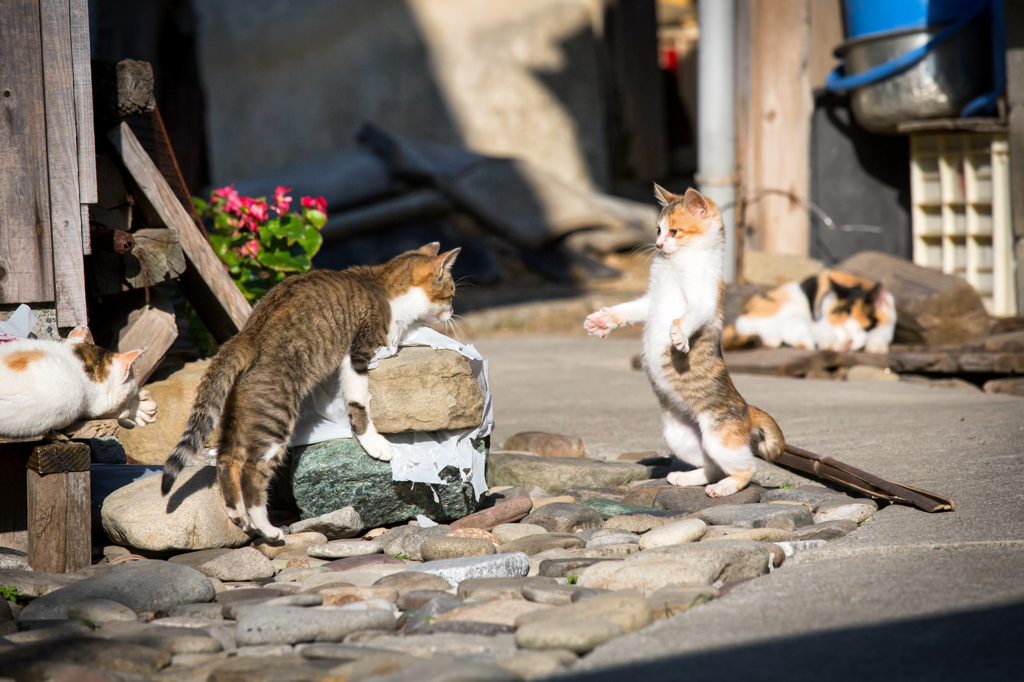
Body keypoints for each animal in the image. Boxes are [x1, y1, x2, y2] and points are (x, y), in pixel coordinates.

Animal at [160, 242, 460, 536]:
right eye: (450, 294)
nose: (452, 312)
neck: (383, 285)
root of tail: (246, 335)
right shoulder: (358, 355)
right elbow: (359, 403)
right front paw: (374, 443)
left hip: (238, 415)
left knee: (226, 459)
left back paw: (238, 515)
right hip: (275, 418)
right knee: (252, 470)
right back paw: (266, 528)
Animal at [585, 184, 782, 493]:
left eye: (674, 232)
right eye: (657, 230)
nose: (658, 245)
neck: (676, 263)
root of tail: (748, 409)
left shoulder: (705, 300)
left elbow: (689, 316)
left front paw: (678, 334)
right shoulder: (650, 301)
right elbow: (628, 309)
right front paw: (603, 320)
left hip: (718, 437)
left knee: (747, 468)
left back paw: (726, 486)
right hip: (680, 438)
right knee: (712, 466)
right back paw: (688, 478)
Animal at [720, 268, 897, 350]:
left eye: (862, 327)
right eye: (840, 326)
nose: (847, 343)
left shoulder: (890, 322)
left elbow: (881, 333)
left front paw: (876, 346)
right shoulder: (820, 323)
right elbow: (824, 333)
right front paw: (829, 344)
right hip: (791, 311)